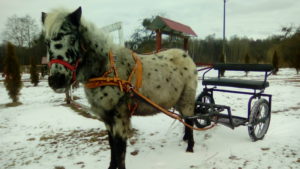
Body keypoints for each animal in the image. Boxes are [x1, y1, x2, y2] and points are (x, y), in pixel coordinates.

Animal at [41, 6, 198, 169]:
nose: (56, 81)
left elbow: (120, 150)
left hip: (187, 99)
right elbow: (112, 146)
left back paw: (190, 147)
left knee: (190, 120)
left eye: (72, 39)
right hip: (178, 101)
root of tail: (186, 56)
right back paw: (185, 139)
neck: (107, 70)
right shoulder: (107, 119)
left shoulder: (120, 118)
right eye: (46, 43)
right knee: (185, 119)